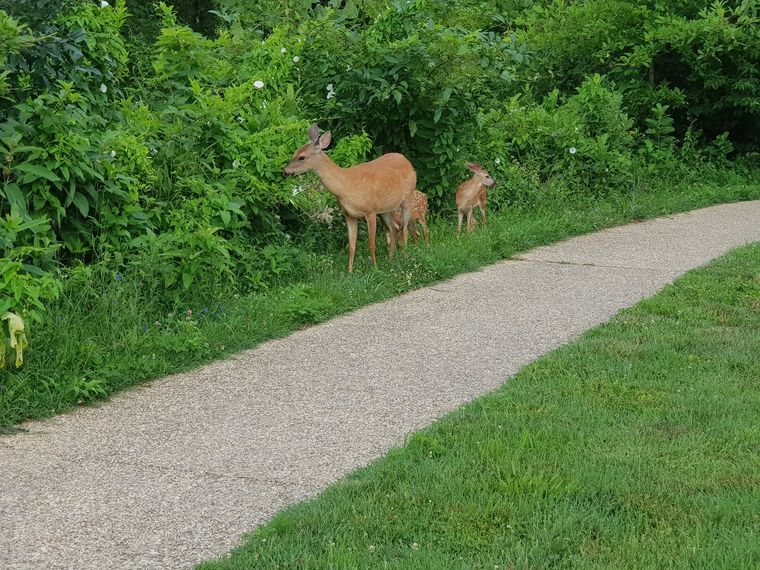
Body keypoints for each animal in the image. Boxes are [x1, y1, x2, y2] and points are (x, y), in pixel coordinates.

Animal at [283, 124, 416, 273]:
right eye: (295, 152)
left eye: (302, 157)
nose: (285, 171)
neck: (346, 187)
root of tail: (406, 160)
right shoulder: (349, 215)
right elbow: (352, 245)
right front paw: (350, 271)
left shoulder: (370, 211)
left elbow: (371, 244)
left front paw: (375, 269)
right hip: (385, 208)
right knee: (394, 228)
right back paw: (391, 259)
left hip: (407, 197)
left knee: (404, 229)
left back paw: (405, 257)